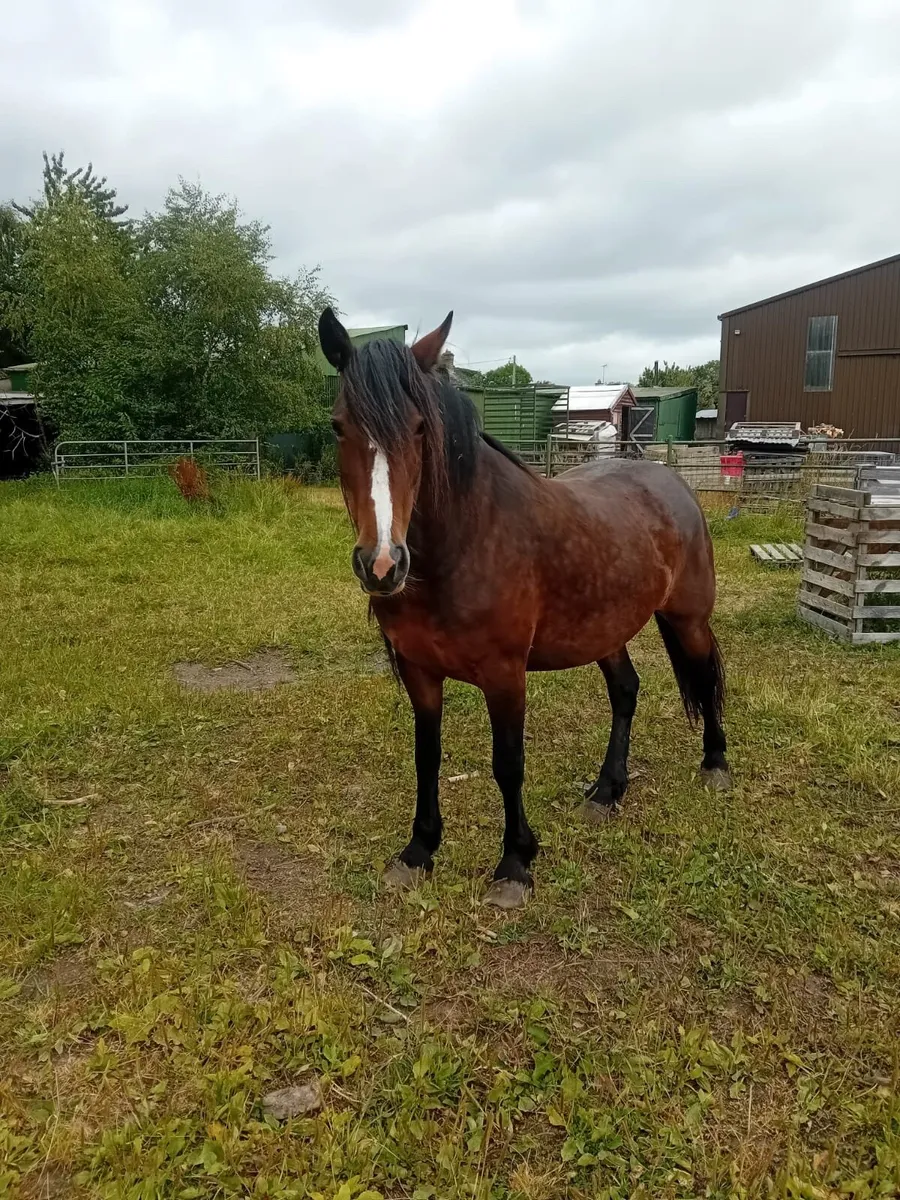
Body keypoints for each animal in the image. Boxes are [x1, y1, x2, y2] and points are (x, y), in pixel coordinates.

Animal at [318, 308, 730, 909]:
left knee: (704, 675)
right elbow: (426, 756)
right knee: (626, 691)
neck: (464, 544)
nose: (382, 563)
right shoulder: (419, 672)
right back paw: (606, 792)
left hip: (688, 619)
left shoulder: (505, 675)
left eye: (419, 428)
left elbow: (507, 764)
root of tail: (669, 479)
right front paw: (419, 851)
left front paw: (515, 864)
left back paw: (715, 764)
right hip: (604, 629)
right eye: (338, 426)